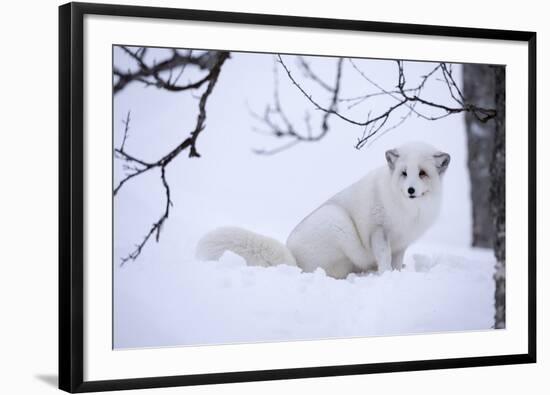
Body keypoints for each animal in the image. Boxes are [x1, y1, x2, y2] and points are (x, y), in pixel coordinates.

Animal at [198, 142, 452, 278]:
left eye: (422, 173)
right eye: (404, 173)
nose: (410, 190)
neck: (409, 209)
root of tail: (294, 263)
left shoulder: (402, 242)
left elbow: (396, 261)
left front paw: (397, 273)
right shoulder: (379, 231)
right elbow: (384, 258)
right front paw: (385, 275)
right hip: (337, 221)